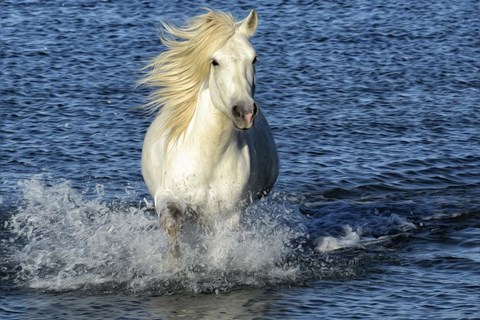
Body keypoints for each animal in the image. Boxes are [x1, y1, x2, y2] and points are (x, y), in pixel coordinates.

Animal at [140, 9, 278, 255]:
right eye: (215, 62)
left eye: (254, 58)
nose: (245, 112)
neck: (209, 159)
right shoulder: (169, 196)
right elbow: (173, 229)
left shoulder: (228, 216)